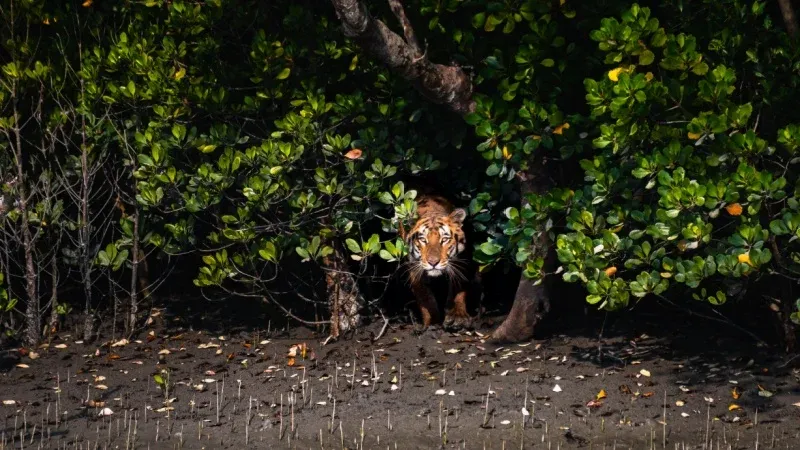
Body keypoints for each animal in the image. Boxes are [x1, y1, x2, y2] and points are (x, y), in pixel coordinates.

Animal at [400, 193, 476, 330]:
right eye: (423, 239)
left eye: (444, 239)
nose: (433, 262)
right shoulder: (414, 268)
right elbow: (425, 297)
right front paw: (432, 323)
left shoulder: (459, 262)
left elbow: (457, 289)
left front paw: (457, 317)